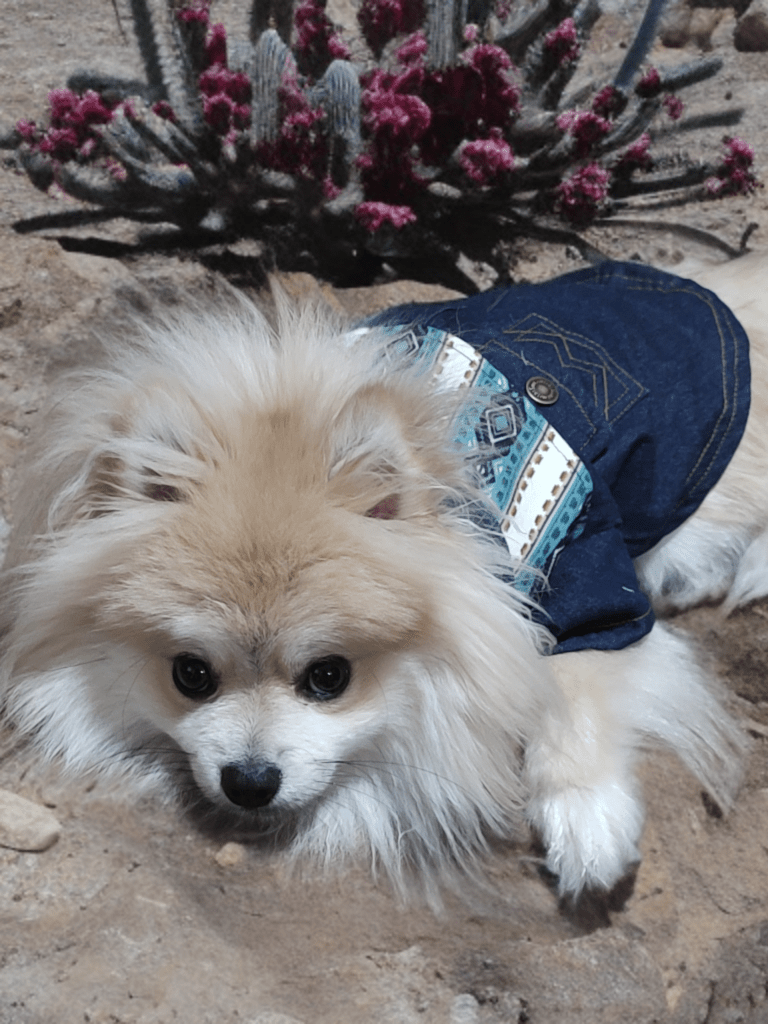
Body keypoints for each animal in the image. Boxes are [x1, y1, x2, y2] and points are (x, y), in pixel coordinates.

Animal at [0, 255, 761, 904]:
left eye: (329, 676)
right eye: (191, 674)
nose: (249, 781)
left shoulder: (589, 583)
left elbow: (570, 688)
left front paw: (587, 822)